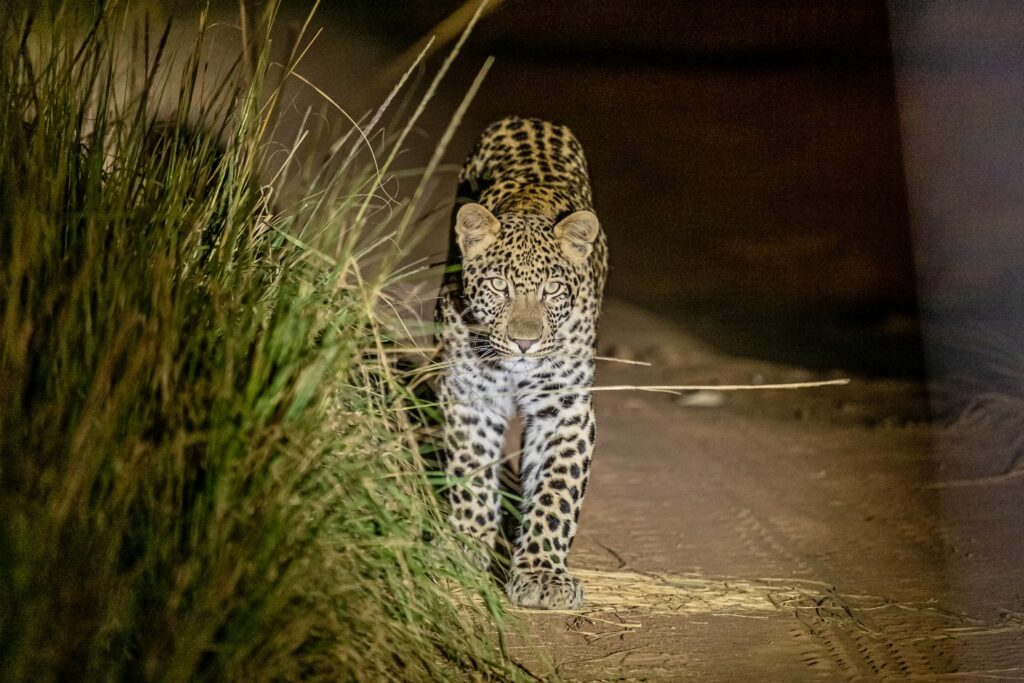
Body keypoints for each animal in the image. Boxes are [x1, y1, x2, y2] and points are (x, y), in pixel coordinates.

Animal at [434, 116, 606, 610]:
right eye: (498, 285)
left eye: (551, 289)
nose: (524, 343)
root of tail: (533, 119)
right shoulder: (470, 394)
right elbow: (470, 469)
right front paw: (467, 542)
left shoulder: (565, 409)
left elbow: (556, 492)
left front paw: (543, 574)